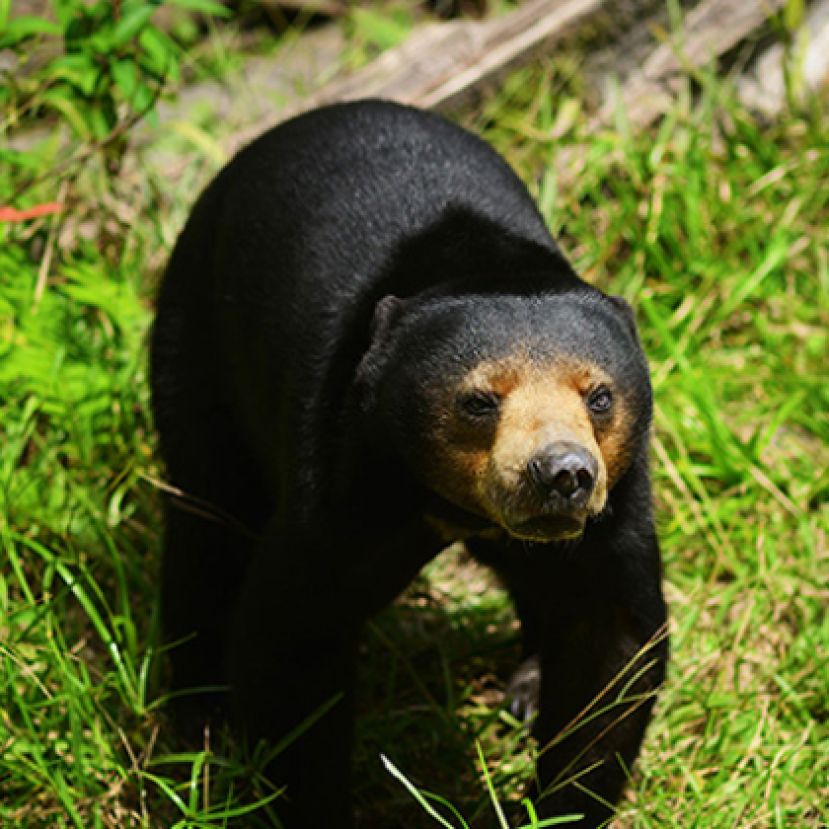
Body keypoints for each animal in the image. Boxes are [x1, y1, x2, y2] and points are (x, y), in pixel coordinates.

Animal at [150, 98, 668, 829]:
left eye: (599, 396)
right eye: (478, 399)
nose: (561, 474)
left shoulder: (613, 510)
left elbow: (610, 643)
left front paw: (554, 804)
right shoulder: (340, 475)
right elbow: (291, 636)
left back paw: (526, 687)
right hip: (197, 341)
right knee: (207, 519)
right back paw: (195, 719)